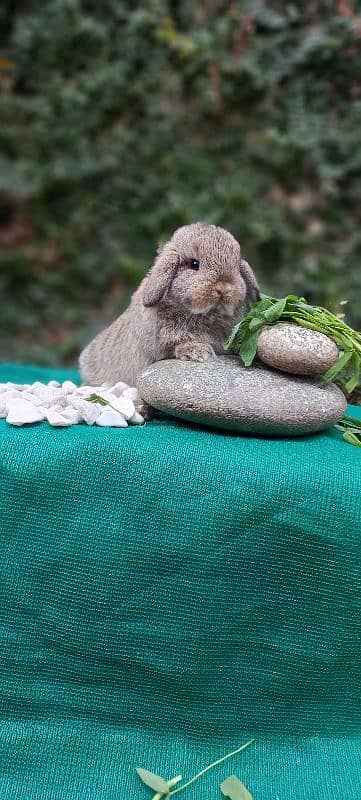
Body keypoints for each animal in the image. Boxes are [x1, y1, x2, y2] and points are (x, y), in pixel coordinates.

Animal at [79, 222, 258, 394]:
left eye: (236, 267)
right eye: (194, 264)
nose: (224, 288)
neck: (205, 315)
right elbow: (177, 346)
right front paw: (199, 352)